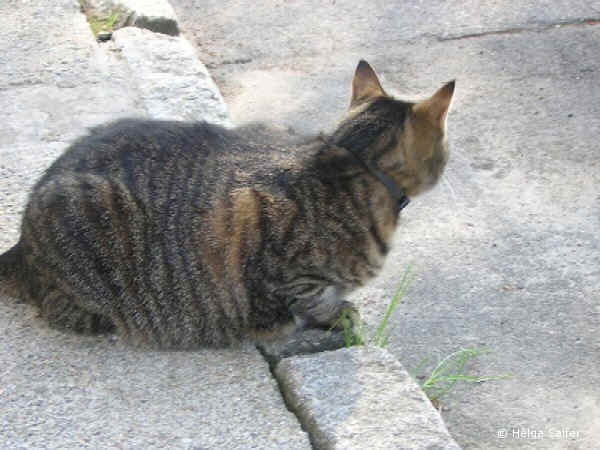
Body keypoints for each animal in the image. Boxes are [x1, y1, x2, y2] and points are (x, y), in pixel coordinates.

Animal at [0, 60, 454, 349]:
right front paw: (333, 316)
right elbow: (311, 301)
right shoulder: (277, 256)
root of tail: (22, 242)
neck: (355, 161)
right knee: (64, 311)